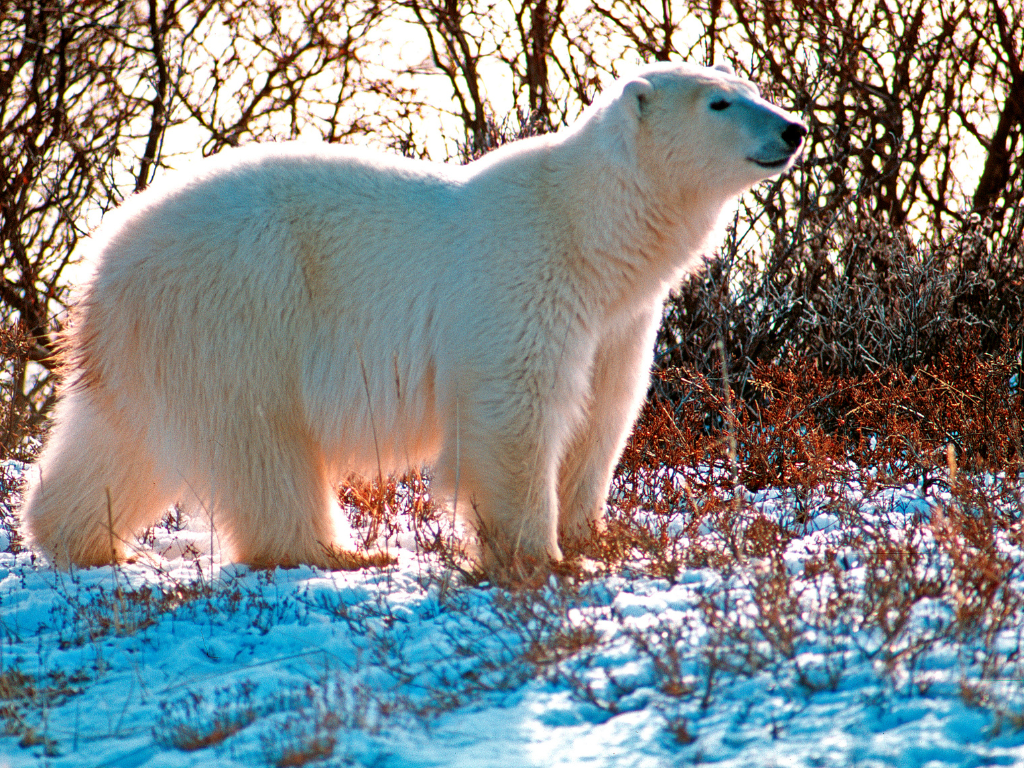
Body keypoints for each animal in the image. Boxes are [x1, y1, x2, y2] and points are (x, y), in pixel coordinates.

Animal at [19, 61, 802, 577]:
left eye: (754, 89)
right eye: (719, 103)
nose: (794, 129)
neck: (592, 232)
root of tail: (101, 262)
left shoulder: (617, 319)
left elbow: (602, 414)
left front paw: (599, 538)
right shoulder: (522, 278)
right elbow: (515, 411)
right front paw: (540, 558)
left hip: (153, 344)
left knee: (118, 442)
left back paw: (86, 540)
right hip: (236, 308)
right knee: (263, 444)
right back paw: (339, 550)